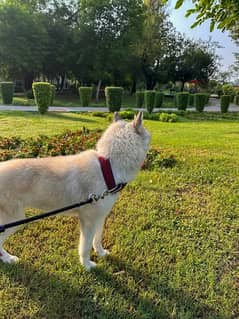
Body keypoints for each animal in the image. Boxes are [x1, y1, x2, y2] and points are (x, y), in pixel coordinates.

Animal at [0, 112, 149, 270]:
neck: (108, 165)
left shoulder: (100, 217)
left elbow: (97, 239)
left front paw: (101, 253)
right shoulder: (88, 221)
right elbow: (85, 247)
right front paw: (87, 265)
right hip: (15, 219)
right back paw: (8, 258)